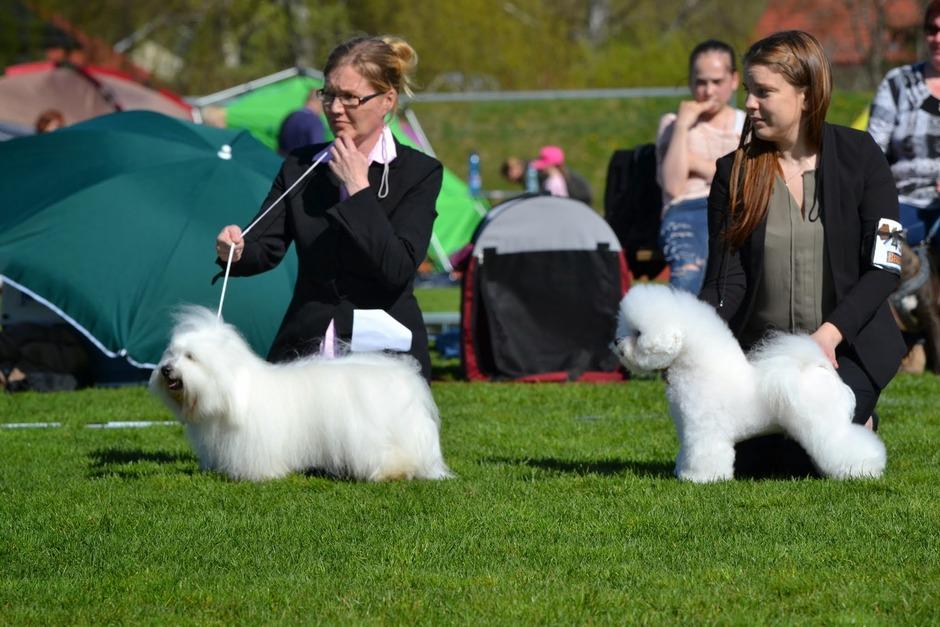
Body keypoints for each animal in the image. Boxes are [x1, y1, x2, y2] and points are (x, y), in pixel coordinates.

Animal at [149, 306, 452, 482]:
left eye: (190, 357)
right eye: (171, 353)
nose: (165, 370)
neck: (234, 388)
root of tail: (404, 377)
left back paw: (391, 473)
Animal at [611, 284, 887, 482]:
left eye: (638, 333)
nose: (616, 343)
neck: (701, 369)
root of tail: (819, 369)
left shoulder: (704, 430)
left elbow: (704, 454)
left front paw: (700, 478)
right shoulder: (688, 429)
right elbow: (686, 452)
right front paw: (682, 471)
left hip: (823, 425)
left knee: (845, 443)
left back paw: (864, 469)